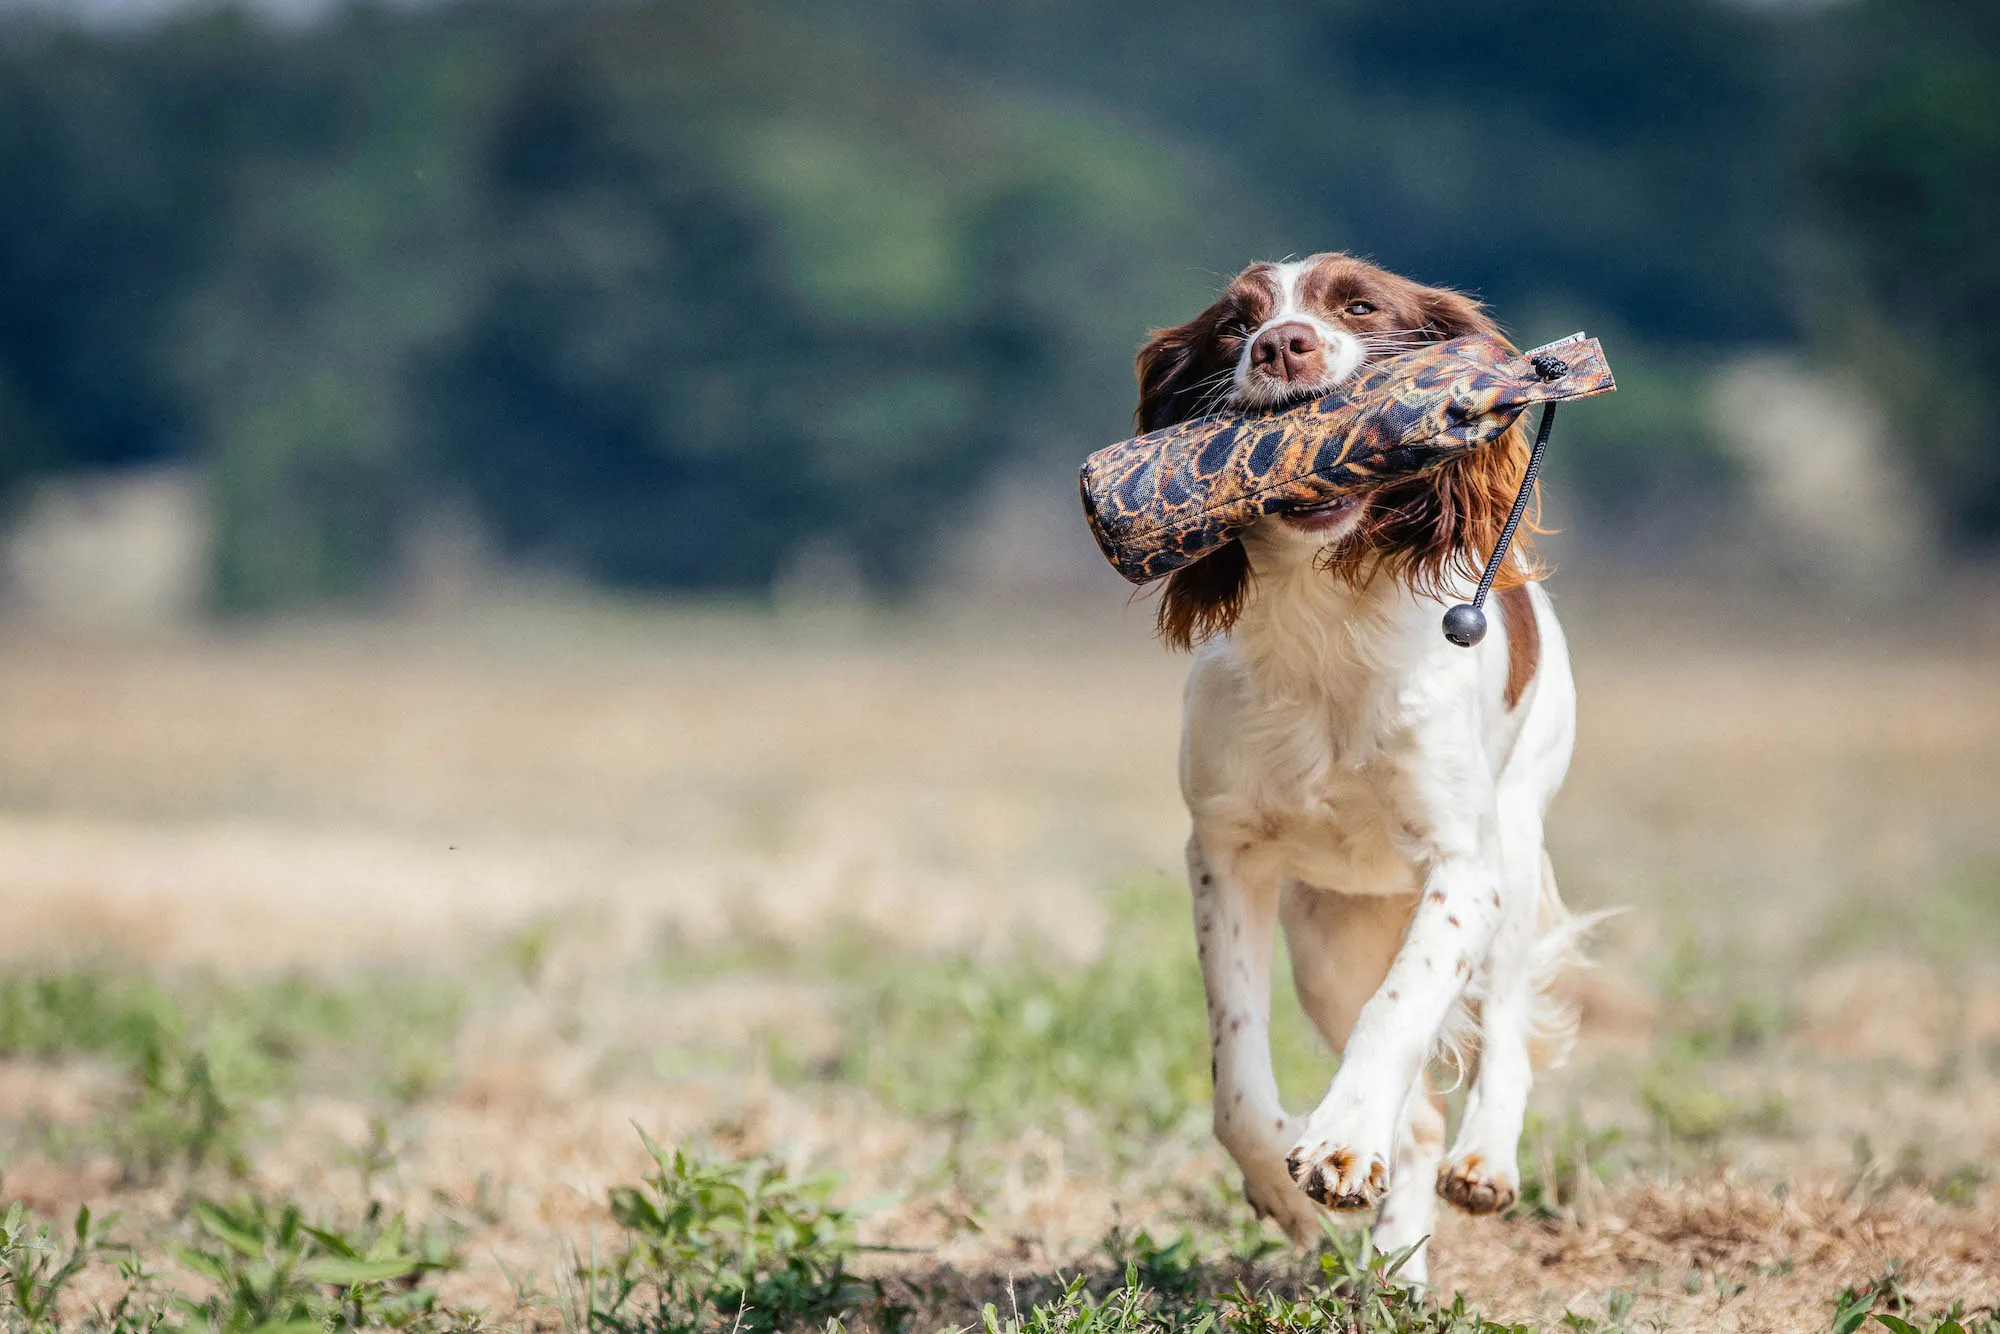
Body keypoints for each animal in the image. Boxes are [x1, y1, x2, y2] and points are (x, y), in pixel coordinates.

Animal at [1144, 253, 1592, 1280]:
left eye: (1359, 306)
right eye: (1235, 326)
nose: (1283, 346)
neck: (1325, 617)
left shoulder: (1462, 864)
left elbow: (1402, 1009)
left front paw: (1343, 1136)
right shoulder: (1225, 852)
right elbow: (1235, 1070)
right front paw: (1286, 1183)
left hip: (1514, 846)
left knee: (1503, 1025)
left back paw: (1484, 1161)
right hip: (1327, 936)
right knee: (1419, 1115)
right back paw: (1398, 1271)